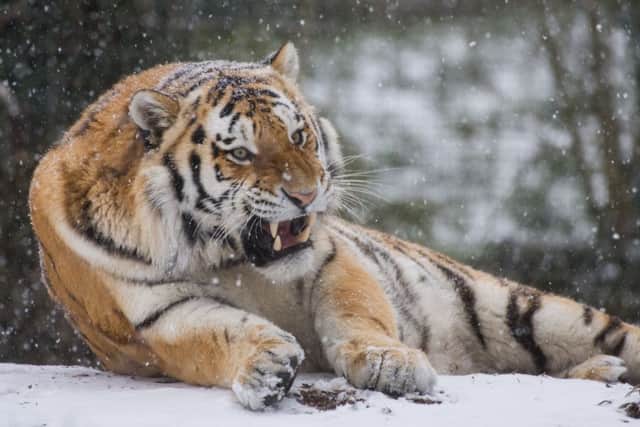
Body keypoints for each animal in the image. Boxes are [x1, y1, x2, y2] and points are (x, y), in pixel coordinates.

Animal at [29, 42, 639, 410]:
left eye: (299, 136)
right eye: (241, 153)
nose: (306, 193)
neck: (228, 259)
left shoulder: (332, 258)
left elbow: (356, 314)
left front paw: (390, 363)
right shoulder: (153, 315)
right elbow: (216, 334)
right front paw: (264, 366)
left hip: (527, 310)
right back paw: (602, 373)